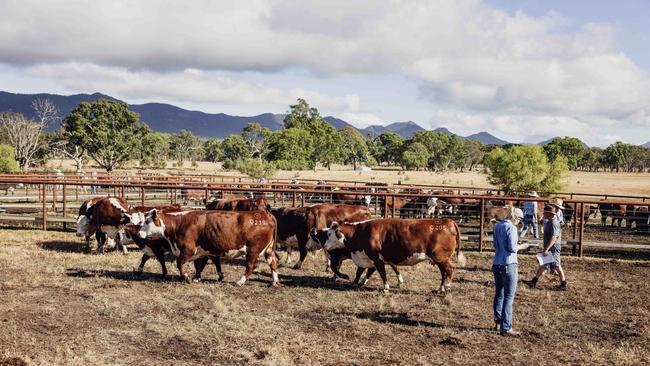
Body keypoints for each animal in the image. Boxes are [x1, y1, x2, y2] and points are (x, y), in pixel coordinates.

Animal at [137, 209, 278, 286]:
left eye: (148, 221)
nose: (139, 233)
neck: (178, 224)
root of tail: (266, 214)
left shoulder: (188, 249)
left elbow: (179, 264)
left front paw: (187, 277)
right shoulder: (201, 251)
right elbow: (199, 265)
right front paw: (196, 278)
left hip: (253, 250)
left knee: (250, 266)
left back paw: (240, 282)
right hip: (268, 250)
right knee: (273, 264)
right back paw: (274, 282)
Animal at [318, 217, 460, 294]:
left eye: (329, 234)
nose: (325, 246)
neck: (360, 232)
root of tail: (448, 221)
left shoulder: (376, 258)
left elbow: (382, 273)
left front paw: (386, 287)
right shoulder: (365, 257)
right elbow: (360, 271)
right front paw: (356, 283)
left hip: (440, 258)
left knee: (449, 269)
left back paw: (446, 287)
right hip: (439, 259)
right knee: (443, 272)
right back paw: (440, 289)